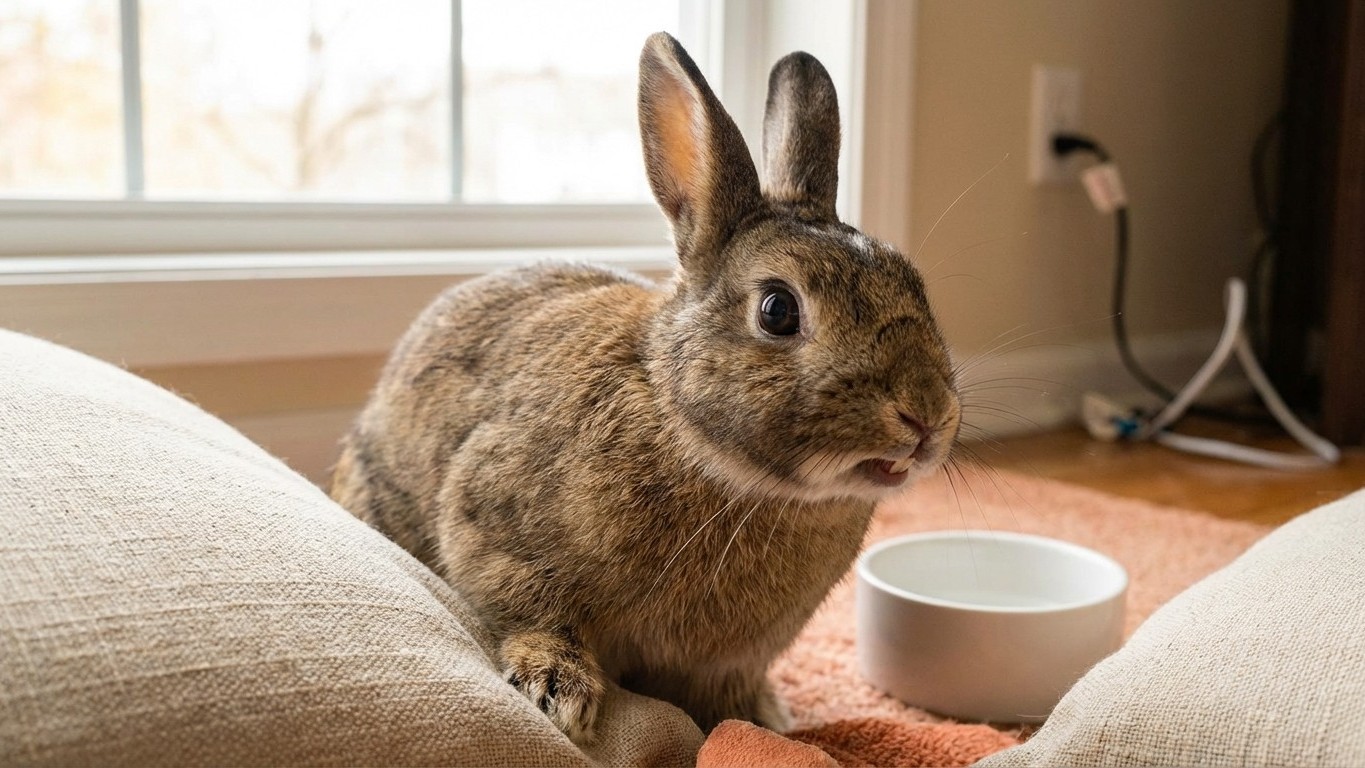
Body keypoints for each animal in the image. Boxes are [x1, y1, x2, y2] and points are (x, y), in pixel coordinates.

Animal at [330, 32, 961, 742]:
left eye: (915, 284)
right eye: (777, 310)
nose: (927, 414)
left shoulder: (728, 663)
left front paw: (763, 725)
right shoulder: (490, 522)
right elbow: (528, 611)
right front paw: (558, 692)